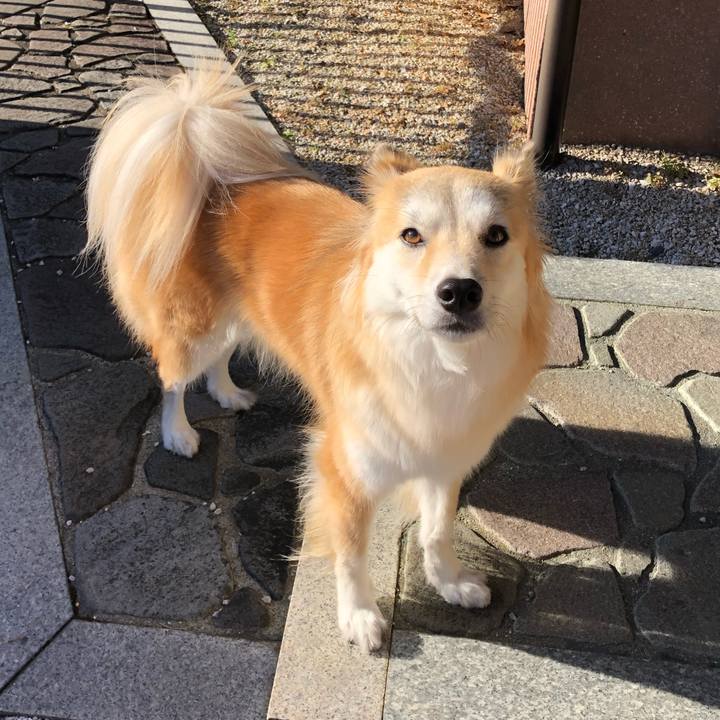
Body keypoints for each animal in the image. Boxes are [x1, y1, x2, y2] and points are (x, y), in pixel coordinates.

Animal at [86, 62, 550, 652]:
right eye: (411, 236)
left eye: (496, 236)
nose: (460, 291)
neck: (432, 361)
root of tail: (209, 174)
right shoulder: (343, 469)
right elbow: (350, 552)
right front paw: (359, 616)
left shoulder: (445, 461)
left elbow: (437, 530)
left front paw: (449, 582)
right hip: (195, 329)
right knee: (172, 378)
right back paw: (179, 433)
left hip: (237, 320)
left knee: (218, 361)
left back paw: (228, 393)